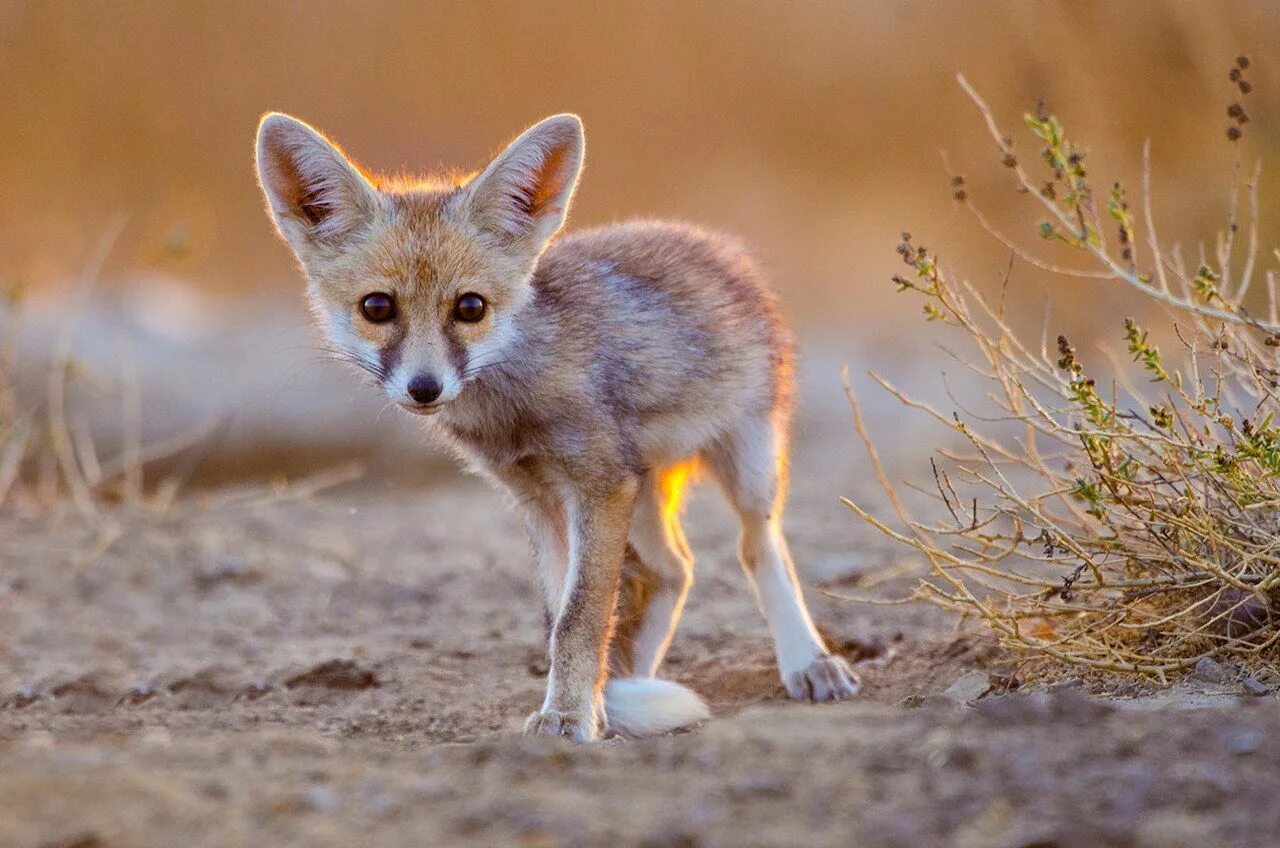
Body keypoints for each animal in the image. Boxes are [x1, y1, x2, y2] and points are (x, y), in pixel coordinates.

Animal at [254, 109, 860, 742]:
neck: (515, 404)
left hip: (746, 463)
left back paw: (807, 661)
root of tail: (716, 244)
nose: (424, 388)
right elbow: (561, 618)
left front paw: (571, 715)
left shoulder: (599, 485)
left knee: (758, 550)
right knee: (672, 570)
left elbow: (580, 616)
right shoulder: (541, 498)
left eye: (470, 308)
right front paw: (591, 705)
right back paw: (631, 684)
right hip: (643, 488)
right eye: (377, 307)